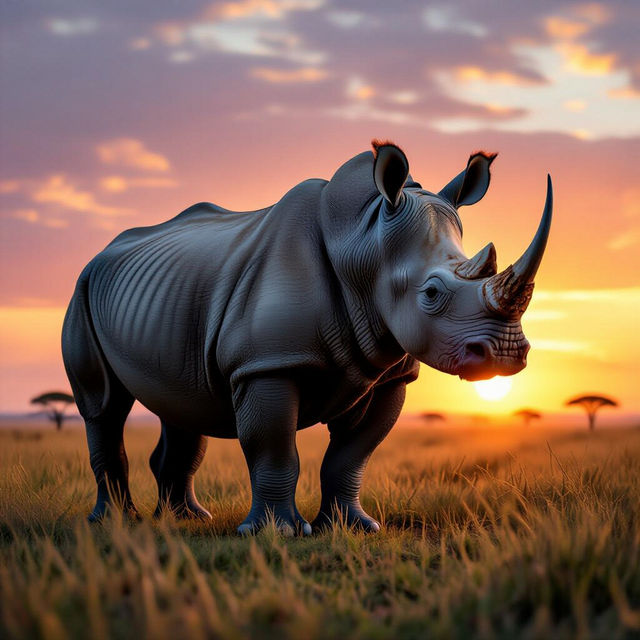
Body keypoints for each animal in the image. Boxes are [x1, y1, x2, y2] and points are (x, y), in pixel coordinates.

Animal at [62, 141, 552, 535]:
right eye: (431, 294)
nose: (508, 354)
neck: (362, 243)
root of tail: (103, 252)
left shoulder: (389, 372)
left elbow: (353, 454)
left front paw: (354, 528)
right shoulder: (266, 364)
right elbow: (274, 448)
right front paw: (277, 533)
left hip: (164, 300)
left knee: (181, 402)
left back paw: (185, 519)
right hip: (82, 289)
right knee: (104, 406)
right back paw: (114, 522)